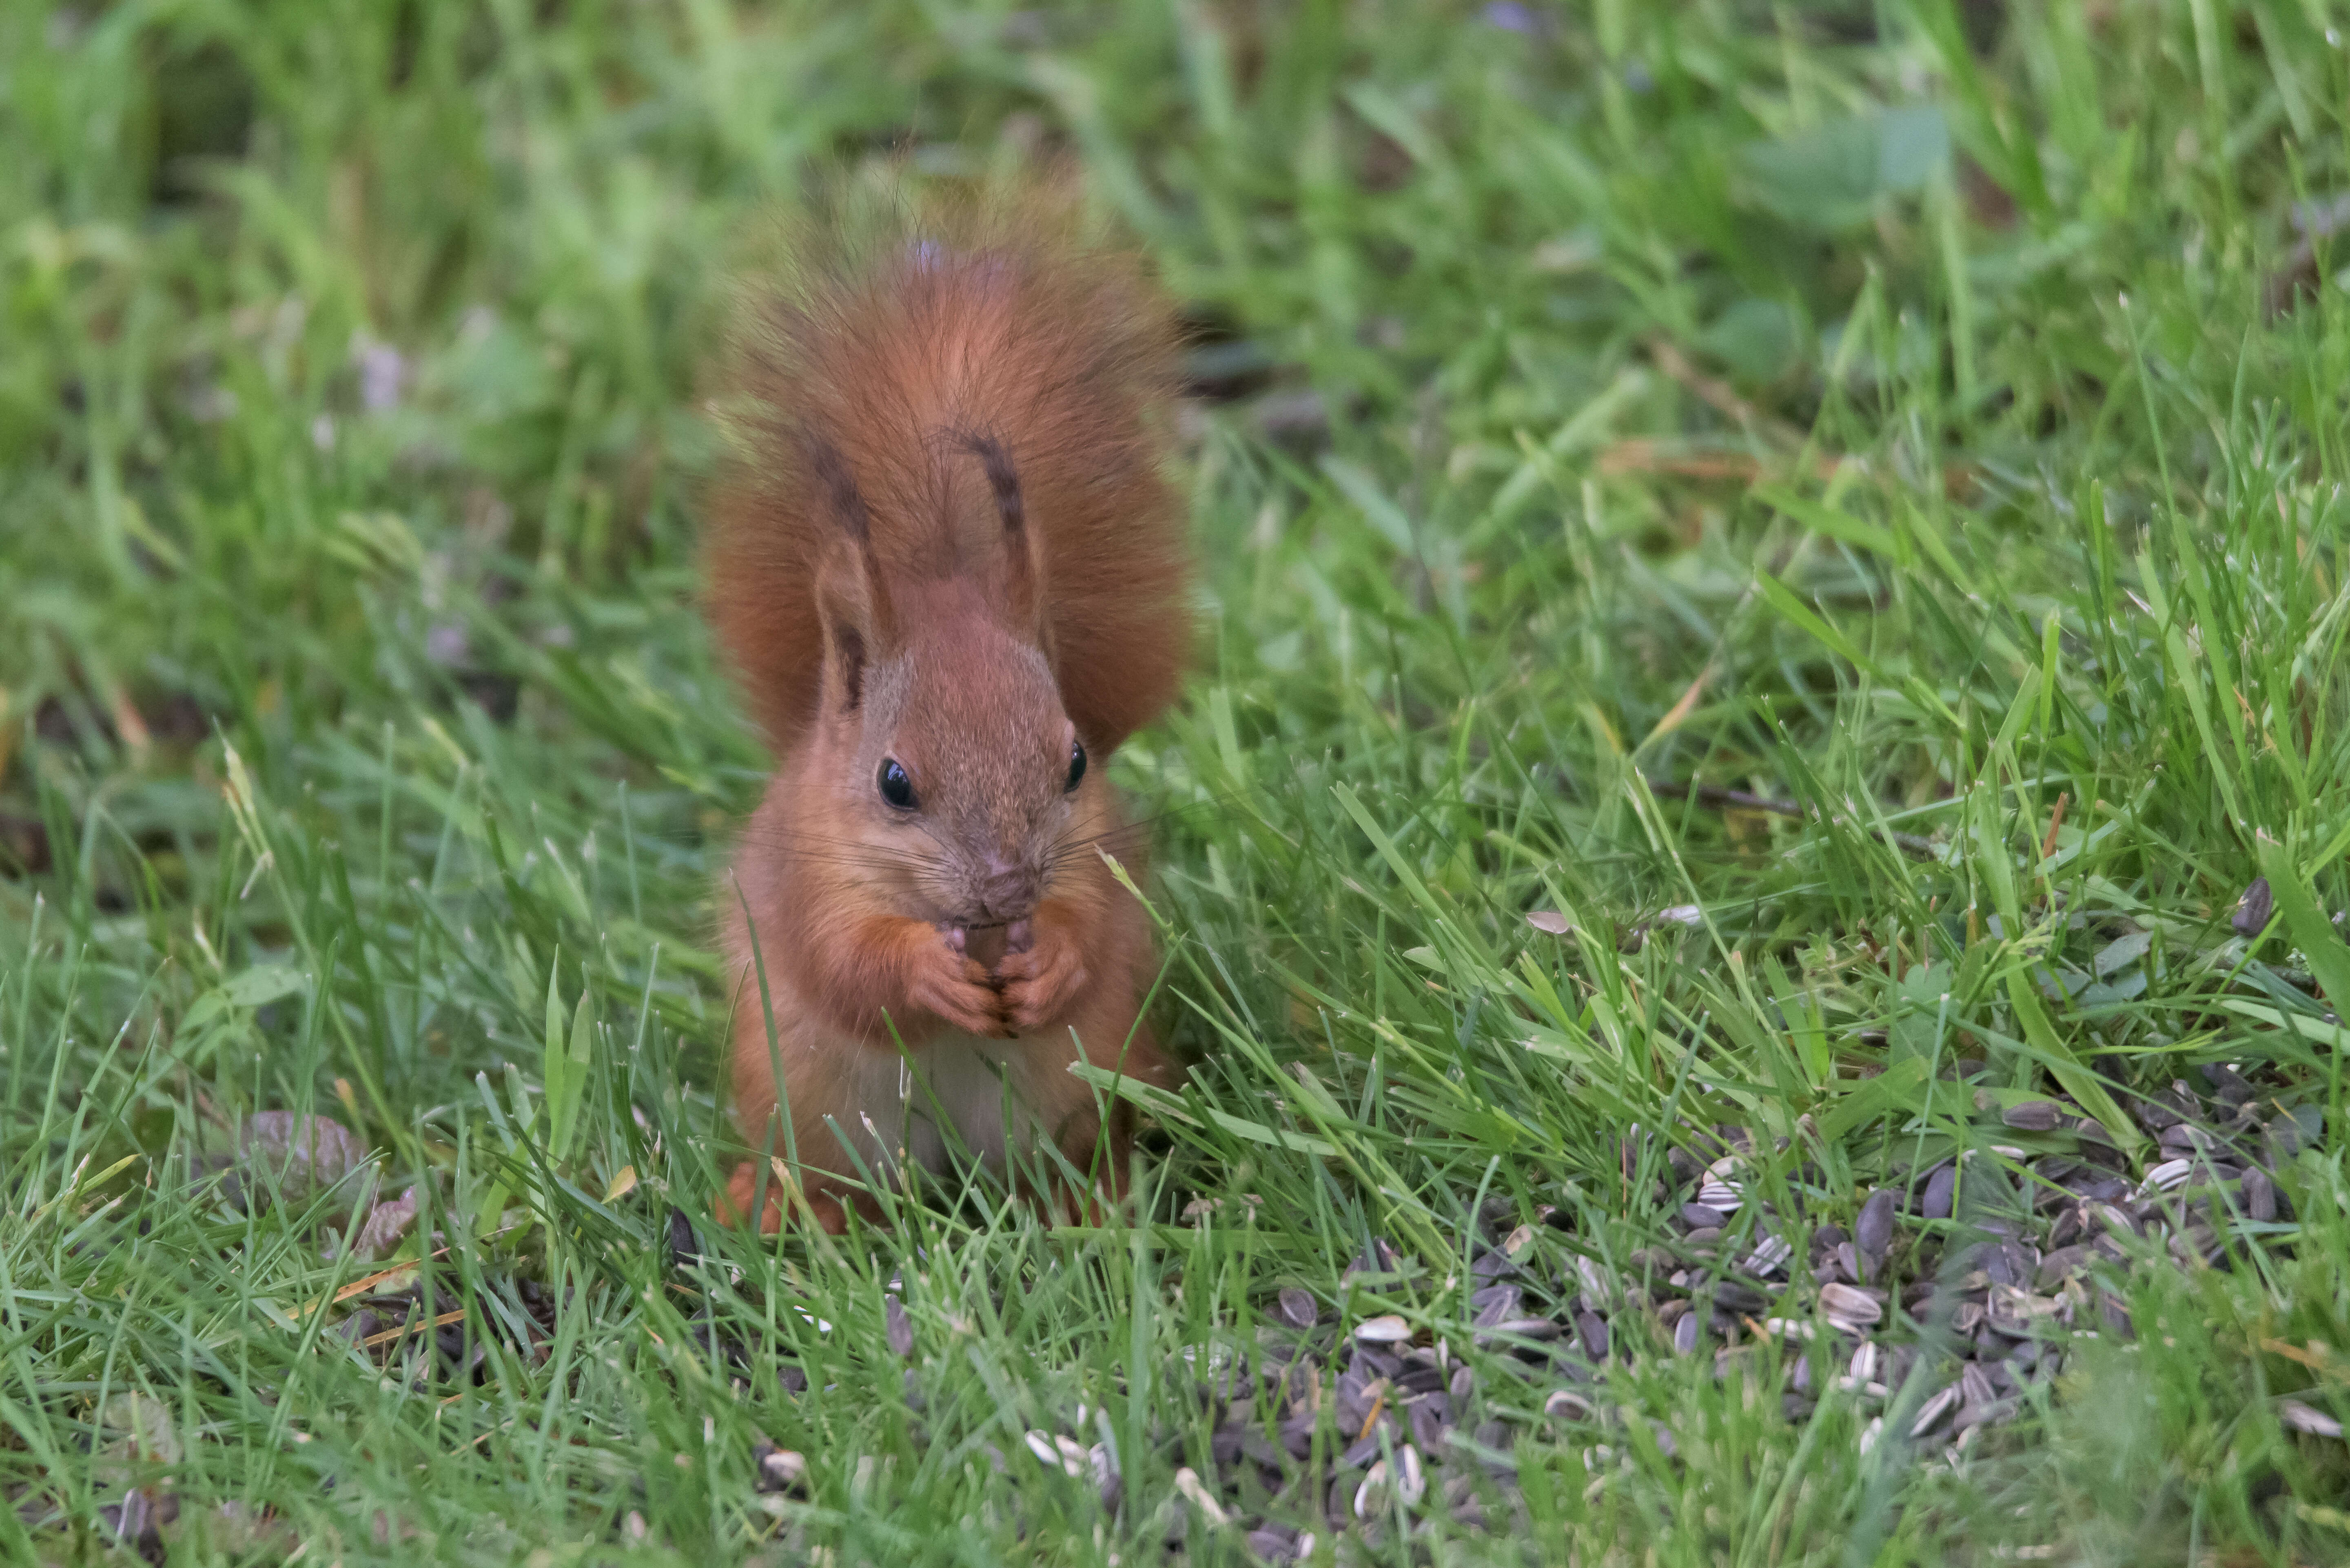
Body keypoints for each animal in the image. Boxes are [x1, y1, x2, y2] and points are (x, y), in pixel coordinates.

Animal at [691, 187, 1175, 1241]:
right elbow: (844, 965)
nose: (1007, 887)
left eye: (1075, 761)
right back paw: (776, 1206)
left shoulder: (1097, 851)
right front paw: (924, 976)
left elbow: (1094, 920)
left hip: (1086, 1074)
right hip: (807, 1097)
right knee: (829, 1176)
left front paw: (1050, 959)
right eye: (893, 782)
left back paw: (1091, 1203)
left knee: (1068, 1156)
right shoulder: (807, 876)